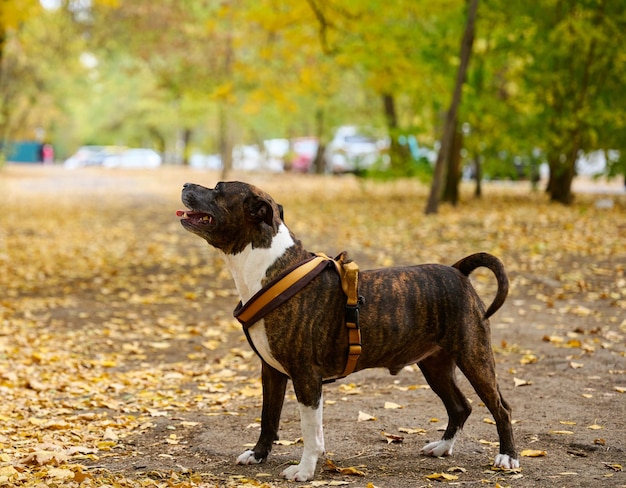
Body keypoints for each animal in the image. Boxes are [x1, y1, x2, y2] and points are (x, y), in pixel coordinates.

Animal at [177, 180, 516, 480]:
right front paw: (259, 455)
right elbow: (268, 418)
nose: (185, 184)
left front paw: (304, 470)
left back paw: (507, 457)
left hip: (474, 357)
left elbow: (310, 431)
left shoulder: (306, 376)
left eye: (218, 189)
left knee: (501, 407)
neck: (269, 267)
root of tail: (458, 270)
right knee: (460, 407)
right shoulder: (271, 372)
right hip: (435, 365)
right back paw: (443, 447)